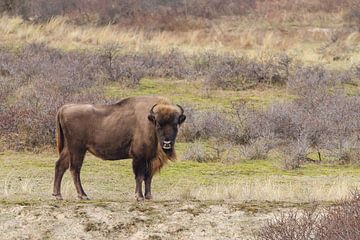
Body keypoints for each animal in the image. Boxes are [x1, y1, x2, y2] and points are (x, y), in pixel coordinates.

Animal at [52, 96, 187, 200]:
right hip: (77, 149)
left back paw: (57, 195)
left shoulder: (149, 158)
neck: (150, 121)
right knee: (75, 169)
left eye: (175, 124)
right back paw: (83, 195)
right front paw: (139, 196)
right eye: (158, 124)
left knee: (60, 166)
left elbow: (148, 177)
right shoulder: (139, 157)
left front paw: (149, 196)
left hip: (69, 149)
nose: (167, 143)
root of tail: (64, 108)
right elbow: (140, 176)